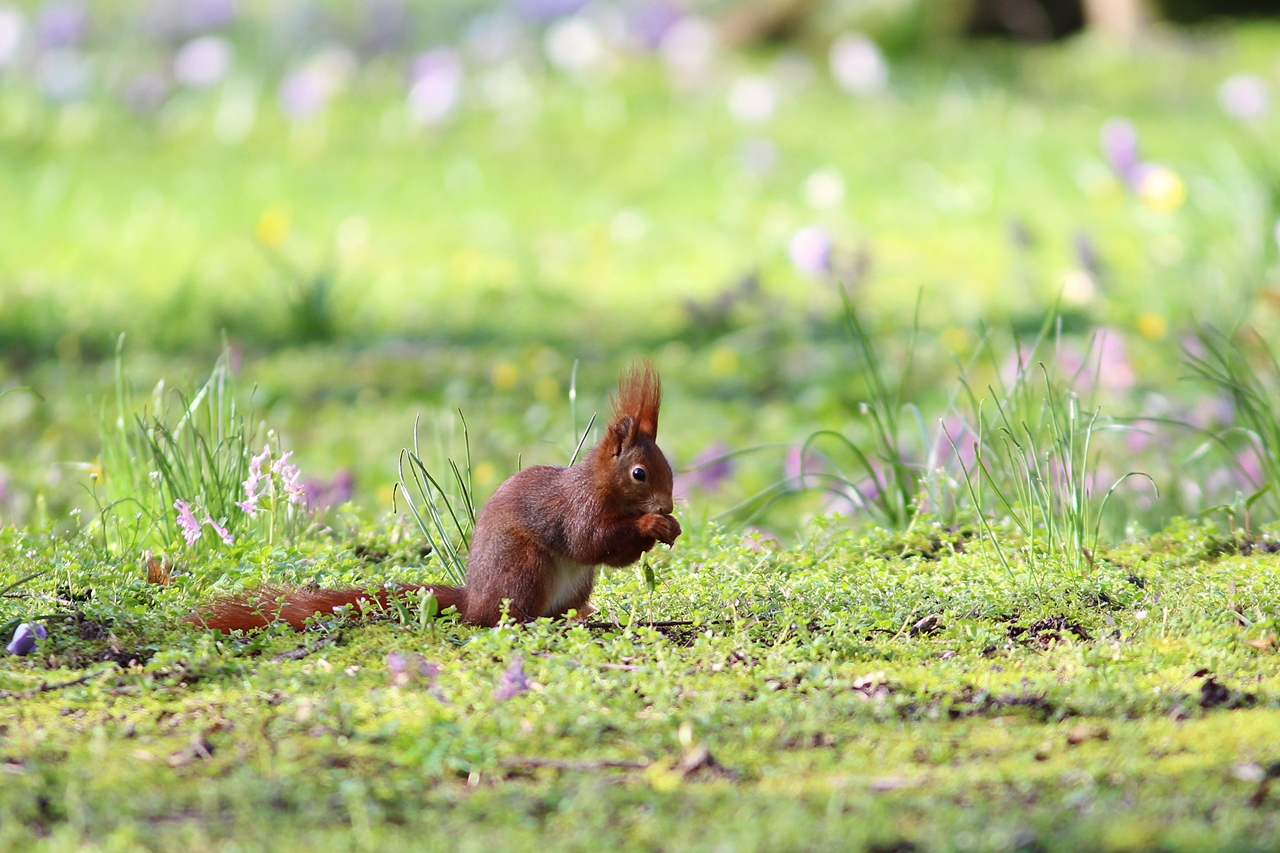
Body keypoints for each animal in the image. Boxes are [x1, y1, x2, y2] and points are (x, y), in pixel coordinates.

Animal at [188, 358, 680, 630]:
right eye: (639, 473)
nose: (668, 505)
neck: (601, 486)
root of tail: (473, 597)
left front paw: (668, 526)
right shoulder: (575, 509)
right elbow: (590, 540)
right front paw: (652, 523)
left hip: (576, 584)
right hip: (523, 569)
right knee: (499, 618)